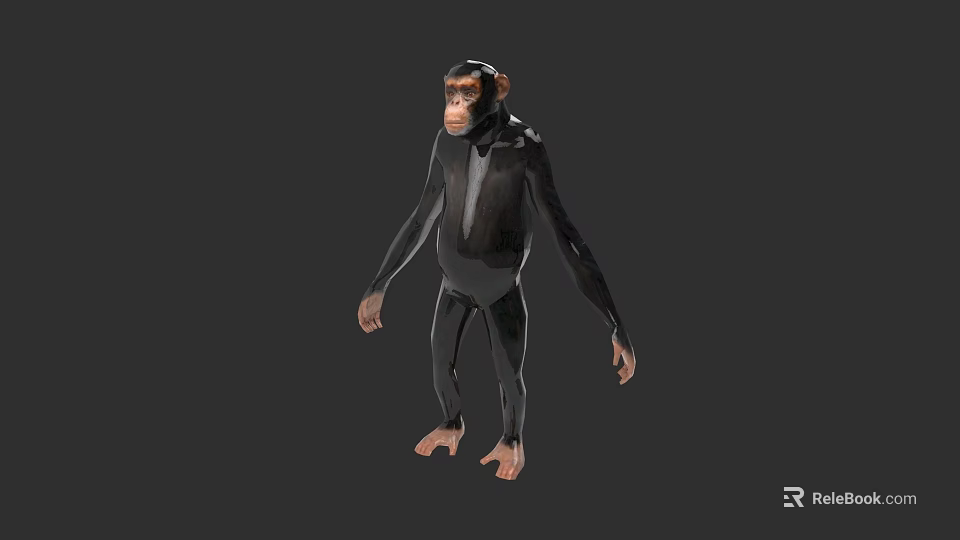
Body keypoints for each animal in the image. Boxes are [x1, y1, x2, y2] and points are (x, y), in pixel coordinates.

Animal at [357, 60, 636, 480]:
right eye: (451, 90)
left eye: (470, 92)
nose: (455, 103)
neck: (485, 135)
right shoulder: (440, 143)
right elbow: (423, 213)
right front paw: (372, 298)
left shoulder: (536, 148)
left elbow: (565, 234)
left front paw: (621, 339)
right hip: (454, 294)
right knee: (442, 356)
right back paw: (449, 428)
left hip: (503, 300)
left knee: (510, 374)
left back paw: (509, 448)